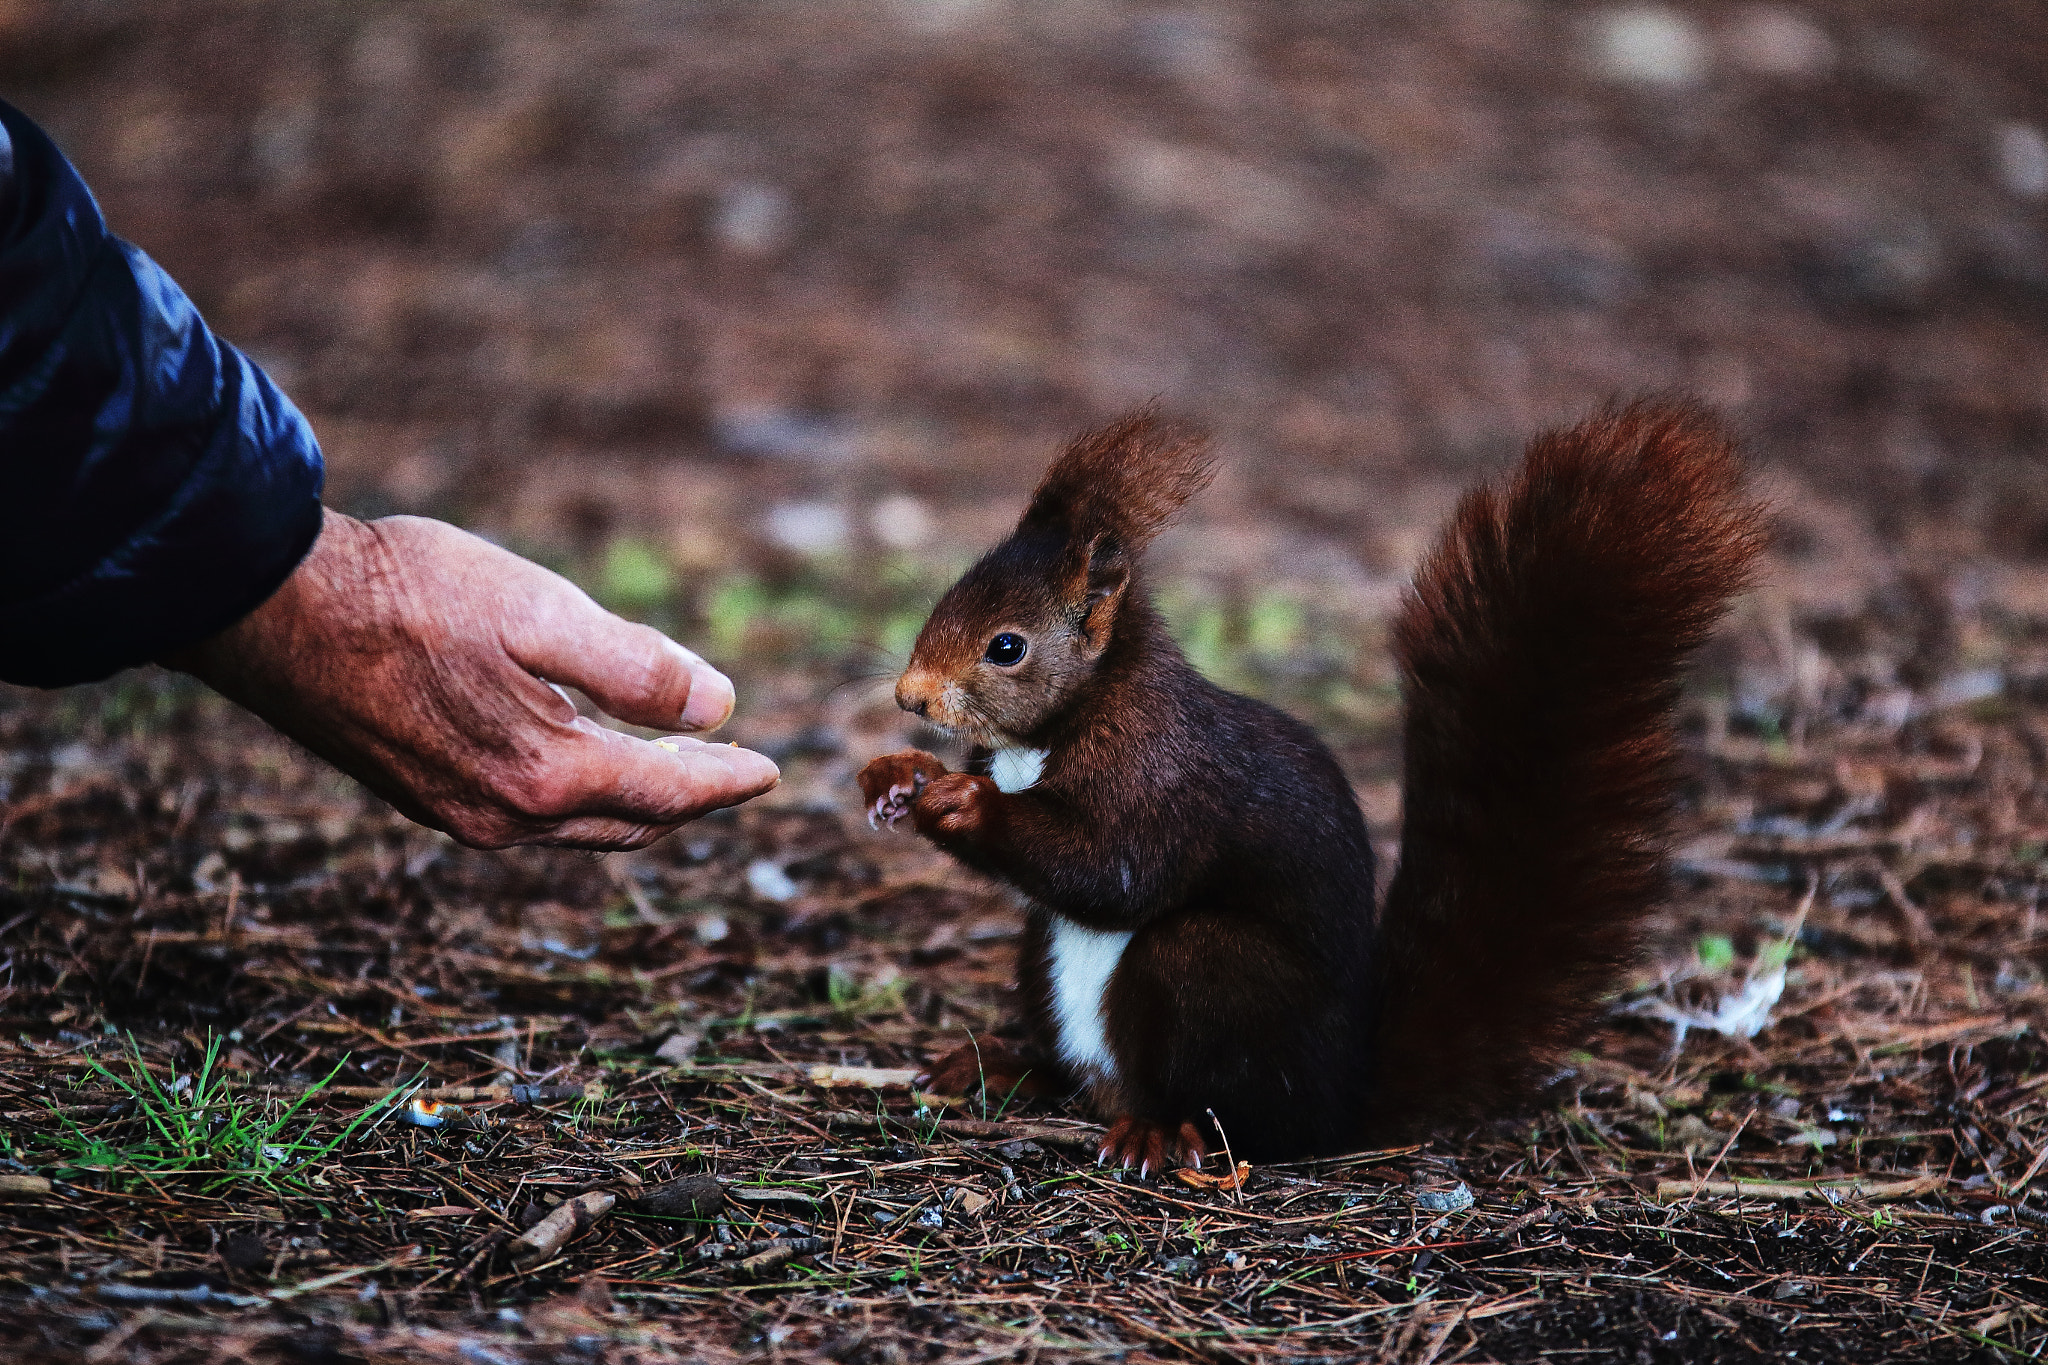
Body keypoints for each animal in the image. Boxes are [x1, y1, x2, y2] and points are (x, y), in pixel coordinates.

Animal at [857, 400, 1763, 1171]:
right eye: (945, 596)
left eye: (1006, 647)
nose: (909, 697)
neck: (1052, 732)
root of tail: (1343, 1099)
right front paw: (898, 773)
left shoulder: (1161, 774)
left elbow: (1115, 870)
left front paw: (965, 803)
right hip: (1043, 953)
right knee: (1078, 1068)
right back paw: (1010, 1069)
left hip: (1213, 977)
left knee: (1235, 1111)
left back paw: (1163, 1131)